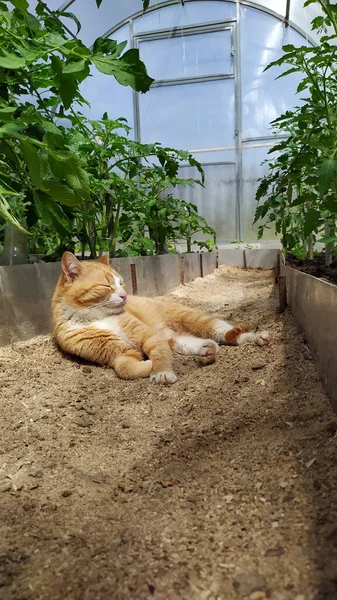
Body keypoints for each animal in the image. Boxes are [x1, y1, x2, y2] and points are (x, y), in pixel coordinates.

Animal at [51, 252, 270, 384]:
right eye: (106, 286)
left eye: (121, 283)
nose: (124, 295)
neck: (96, 317)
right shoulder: (121, 353)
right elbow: (125, 369)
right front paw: (148, 366)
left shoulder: (148, 336)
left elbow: (159, 354)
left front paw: (161, 371)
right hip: (174, 338)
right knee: (193, 342)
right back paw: (208, 350)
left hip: (191, 318)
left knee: (225, 330)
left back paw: (256, 336)